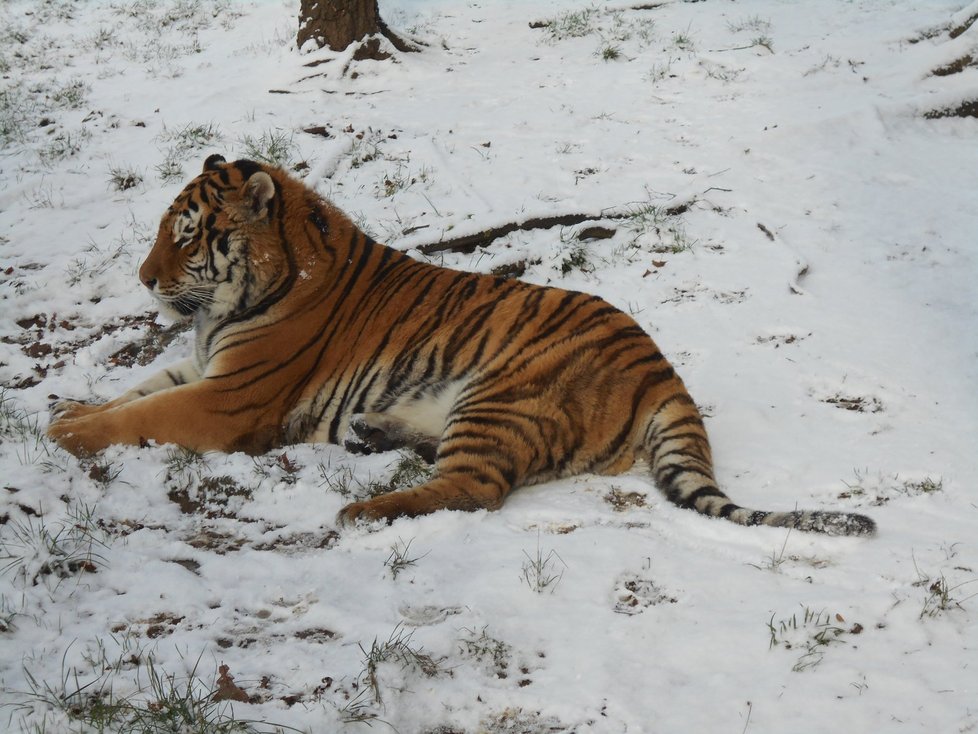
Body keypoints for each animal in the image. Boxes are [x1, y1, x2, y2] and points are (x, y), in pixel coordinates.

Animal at [45, 154, 872, 536]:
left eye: (186, 237)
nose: (144, 279)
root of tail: (661, 368)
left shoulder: (226, 399)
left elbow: (140, 417)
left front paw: (63, 434)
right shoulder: (201, 366)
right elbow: (133, 393)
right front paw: (65, 406)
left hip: (500, 395)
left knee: (474, 489)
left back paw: (363, 511)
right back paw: (371, 434)